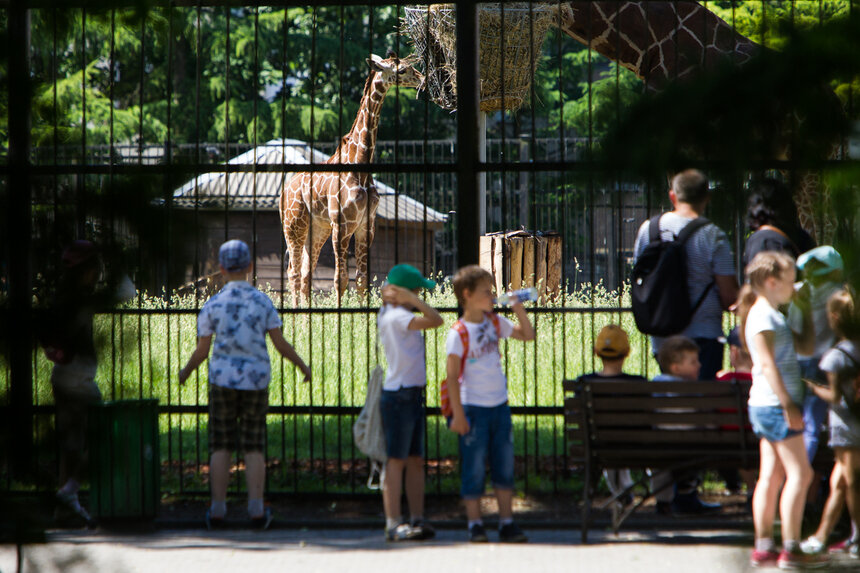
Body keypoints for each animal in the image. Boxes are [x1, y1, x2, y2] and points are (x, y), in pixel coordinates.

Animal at [280, 53, 424, 304]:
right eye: (403, 70)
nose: (423, 79)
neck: (361, 168)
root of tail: (286, 189)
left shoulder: (366, 226)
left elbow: (362, 280)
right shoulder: (343, 225)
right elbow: (340, 279)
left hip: (317, 228)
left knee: (306, 272)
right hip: (294, 225)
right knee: (293, 271)